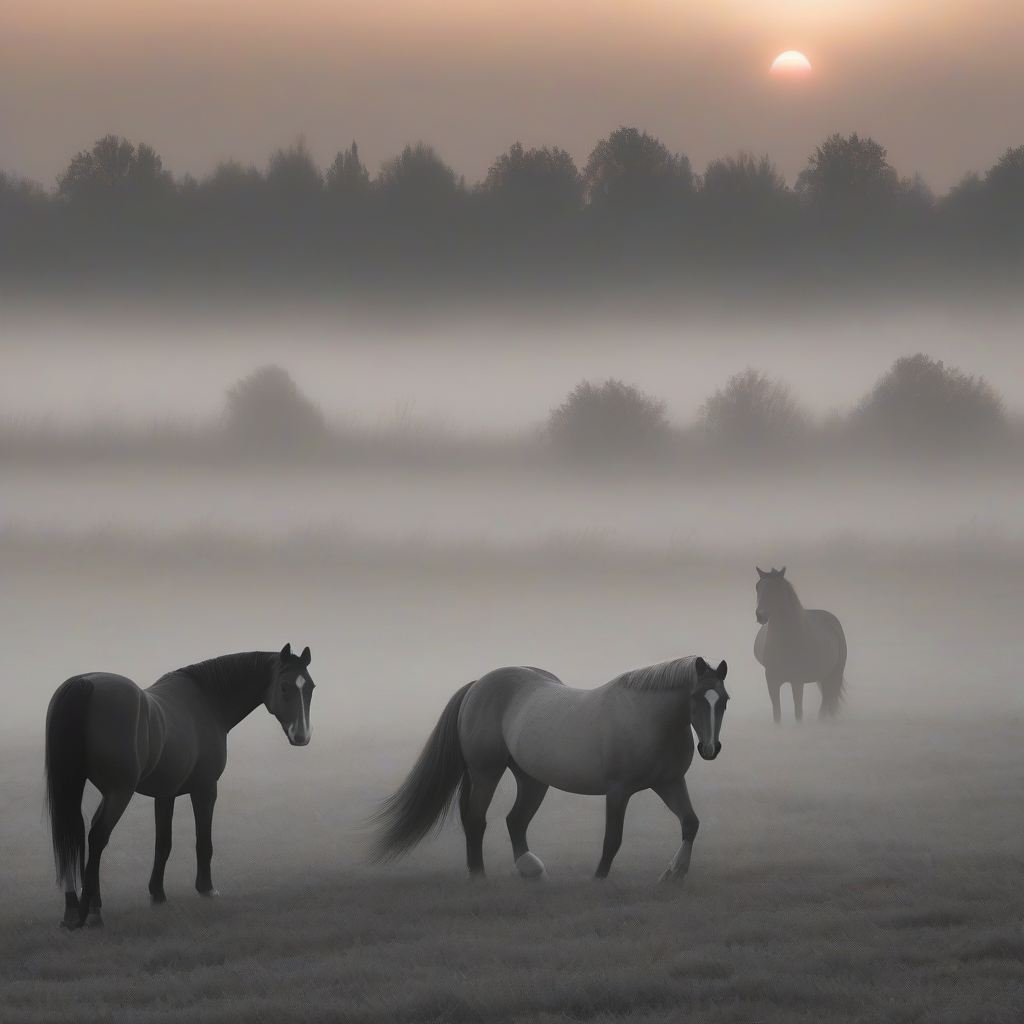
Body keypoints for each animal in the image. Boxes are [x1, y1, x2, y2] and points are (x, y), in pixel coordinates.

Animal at [45, 647, 315, 929]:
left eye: (311, 687)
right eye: (284, 688)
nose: (302, 736)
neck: (207, 700)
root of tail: (84, 684)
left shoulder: (165, 794)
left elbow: (163, 844)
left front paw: (157, 894)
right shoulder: (205, 788)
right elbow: (203, 842)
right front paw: (206, 888)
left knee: (70, 836)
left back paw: (74, 909)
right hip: (118, 793)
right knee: (97, 837)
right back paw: (92, 911)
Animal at [368, 659, 729, 884]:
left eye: (723, 699)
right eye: (697, 696)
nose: (710, 749)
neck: (645, 716)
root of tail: (477, 686)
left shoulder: (670, 783)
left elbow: (691, 824)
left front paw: (674, 873)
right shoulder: (619, 791)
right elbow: (613, 838)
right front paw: (599, 879)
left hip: (532, 780)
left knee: (515, 821)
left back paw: (532, 872)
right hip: (486, 773)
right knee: (476, 820)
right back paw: (479, 875)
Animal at [753, 565, 847, 724]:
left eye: (775, 589)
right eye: (757, 587)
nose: (760, 615)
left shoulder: (797, 682)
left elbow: (798, 714)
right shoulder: (772, 682)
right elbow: (777, 714)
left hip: (835, 674)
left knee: (829, 702)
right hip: (824, 675)